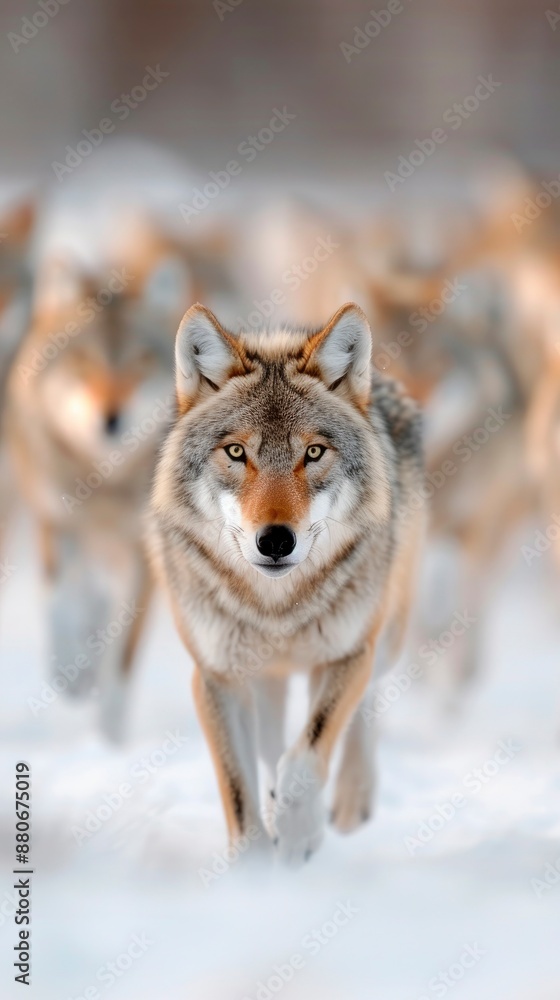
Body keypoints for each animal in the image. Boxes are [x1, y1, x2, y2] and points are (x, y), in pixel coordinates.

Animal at [148, 301, 425, 864]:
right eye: (237, 453)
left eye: (313, 453)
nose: (275, 540)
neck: (276, 610)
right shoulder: (217, 675)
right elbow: (240, 789)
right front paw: (256, 869)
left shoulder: (347, 654)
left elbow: (309, 752)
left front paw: (299, 832)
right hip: (265, 677)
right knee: (272, 741)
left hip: (382, 638)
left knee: (362, 710)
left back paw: (350, 799)